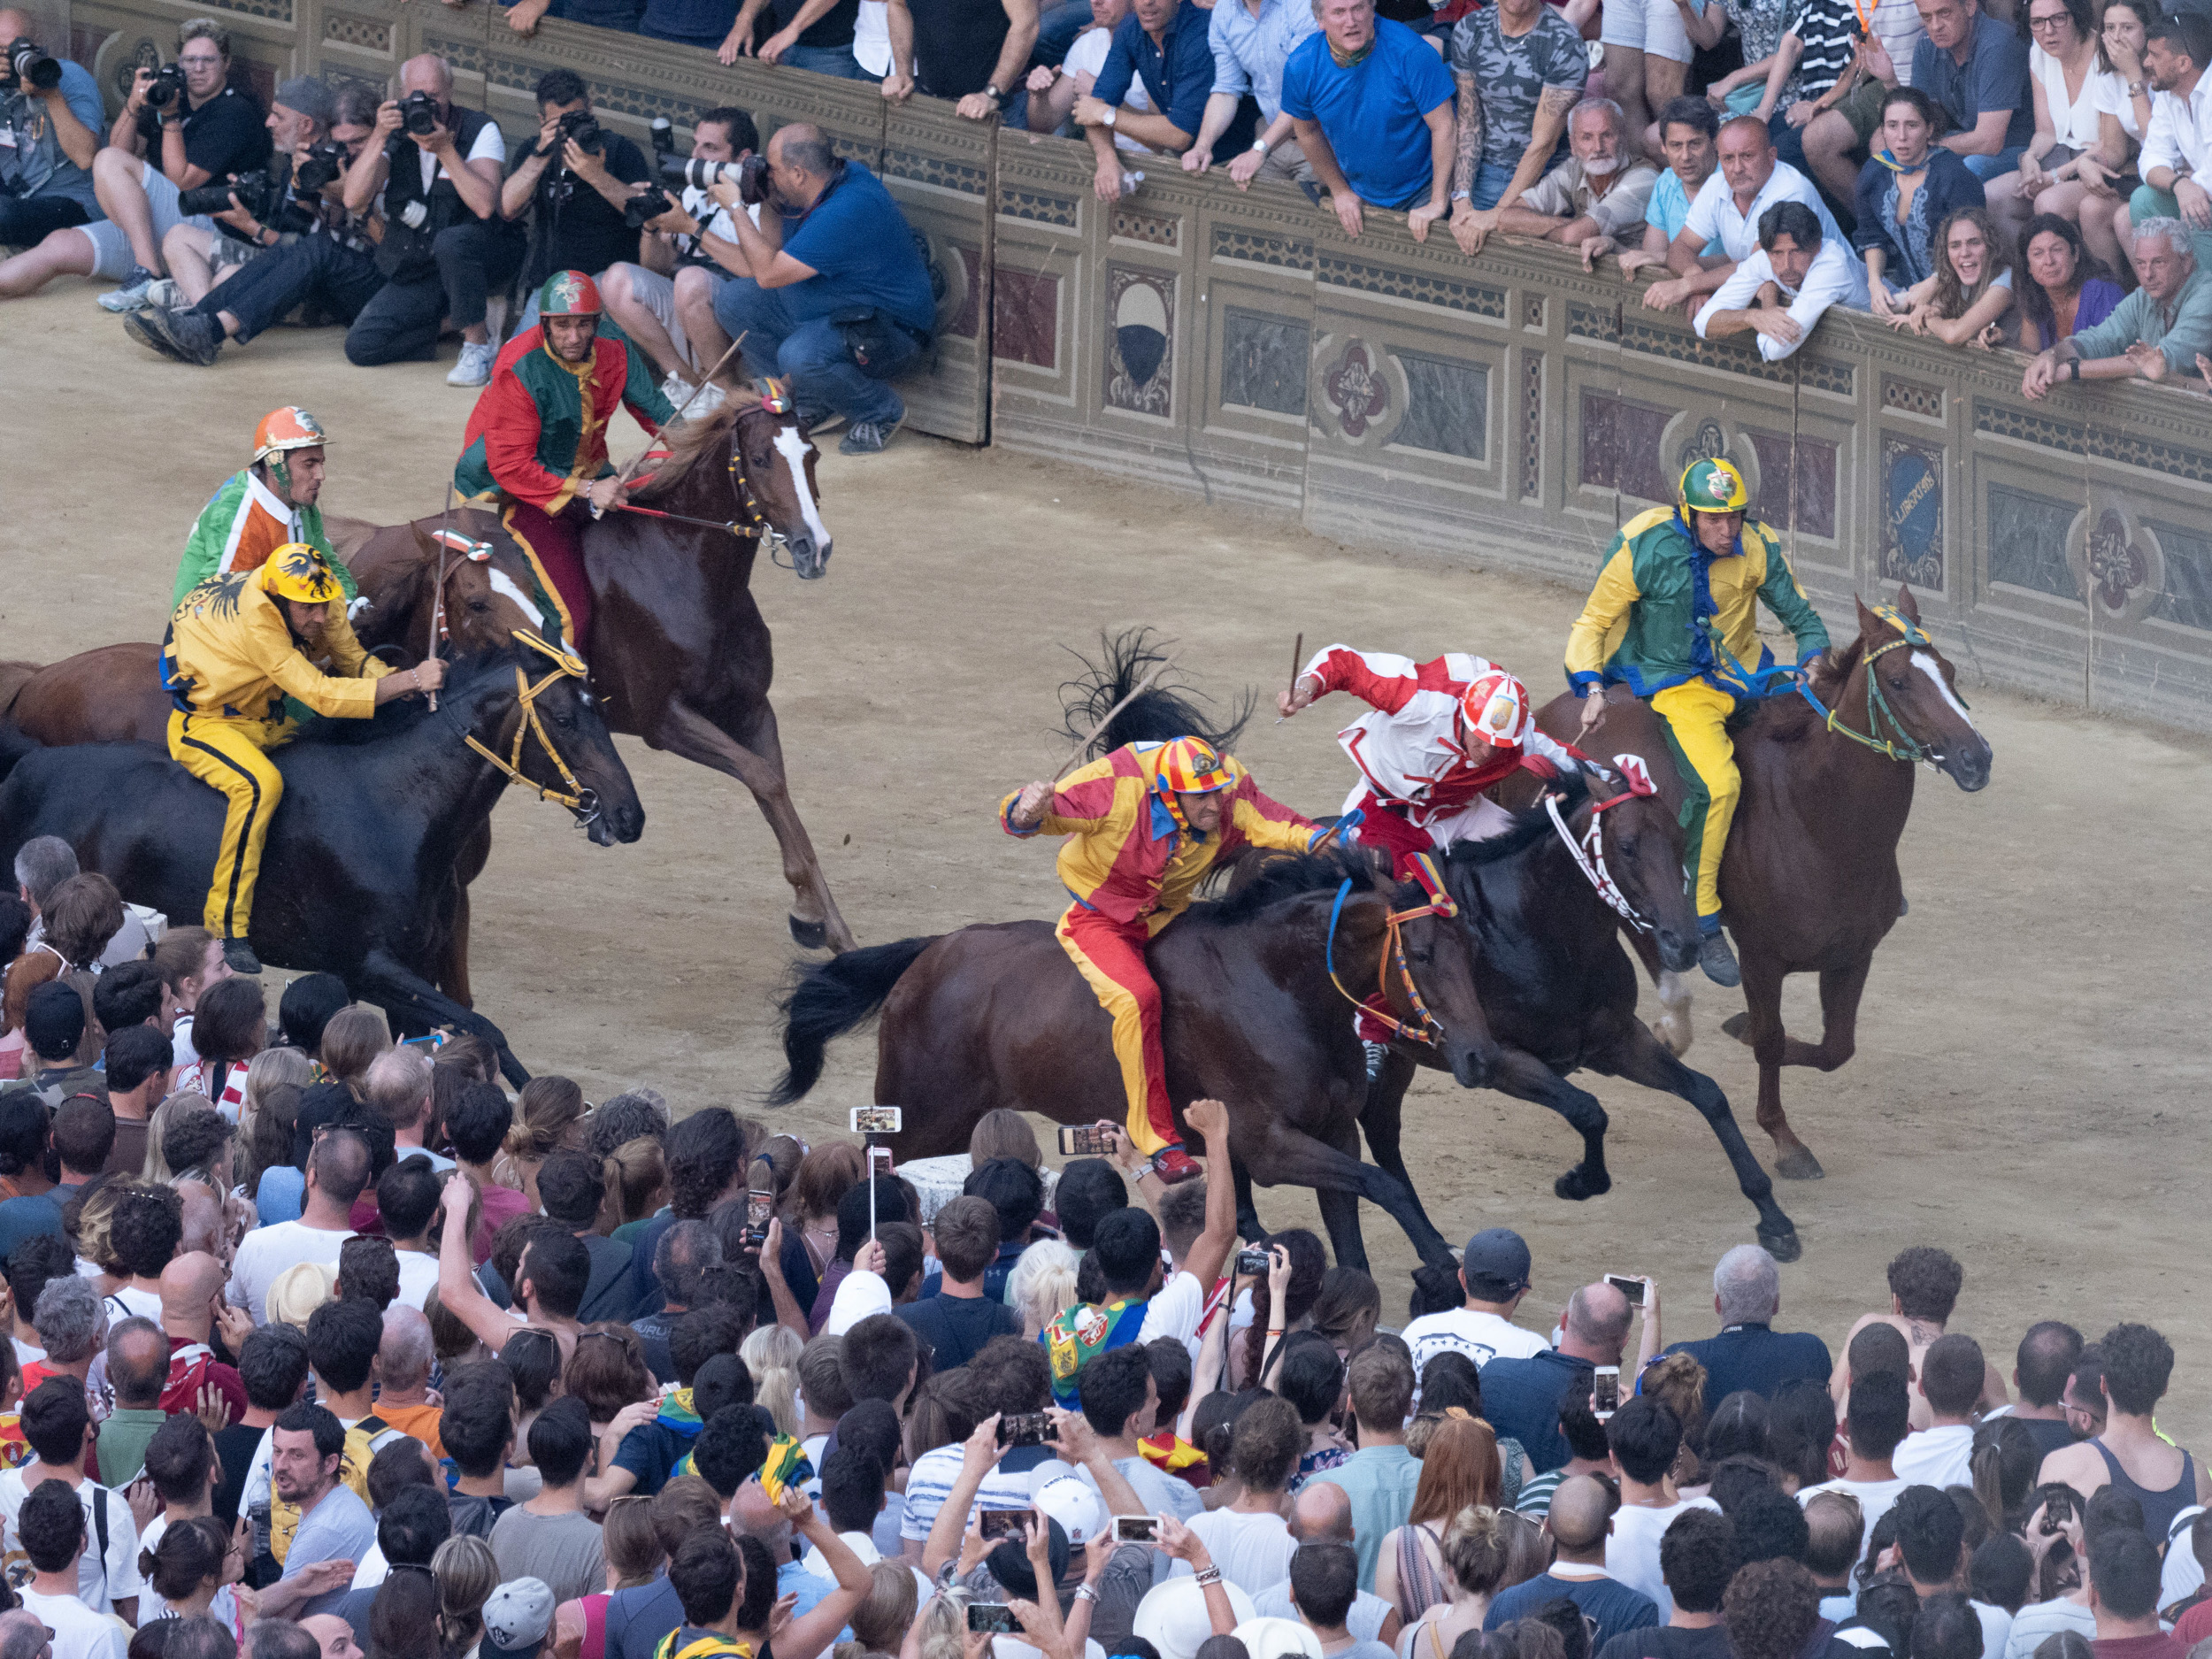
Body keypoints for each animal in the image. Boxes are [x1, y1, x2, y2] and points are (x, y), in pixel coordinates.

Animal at [0, 641, 643, 1084]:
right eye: (565, 718)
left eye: (604, 713)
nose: (629, 815)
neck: (395, 807)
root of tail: (29, 763)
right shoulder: (371, 967)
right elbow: (488, 1031)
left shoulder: (414, 966)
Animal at [769, 848, 1494, 1270]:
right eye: (1421, 954)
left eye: (1474, 948)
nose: (1480, 1056)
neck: (1277, 983)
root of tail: (930, 951)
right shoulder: (1269, 1145)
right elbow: (1384, 1183)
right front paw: (1439, 1258)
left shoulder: (1335, 1130)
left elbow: (1358, 1228)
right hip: (914, 1114)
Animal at [1530, 587, 1993, 1181]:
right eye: (1897, 681)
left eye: (1950, 671)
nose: (1976, 757)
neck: (1821, 826)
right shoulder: (1762, 957)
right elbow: (1772, 1042)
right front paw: (1786, 1141)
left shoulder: (1852, 953)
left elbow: (1835, 1048)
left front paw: (1740, 1029)